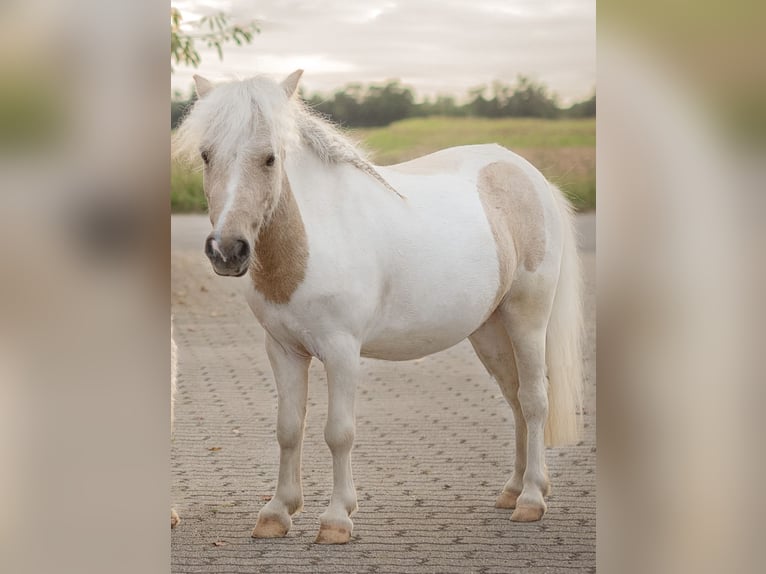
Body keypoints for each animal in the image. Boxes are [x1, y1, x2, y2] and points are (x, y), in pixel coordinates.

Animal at [172, 71, 584, 544]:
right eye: (206, 155)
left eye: (270, 158)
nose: (227, 251)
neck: (316, 236)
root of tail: (528, 175)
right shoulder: (284, 350)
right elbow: (289, 428)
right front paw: (277, 512)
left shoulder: (341, 351)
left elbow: (339, 432)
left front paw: (336, 518)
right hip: (490, 331)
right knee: (515, 398)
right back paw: (512, 491)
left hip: (527, 320)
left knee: (534, 401)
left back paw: (531, 499)